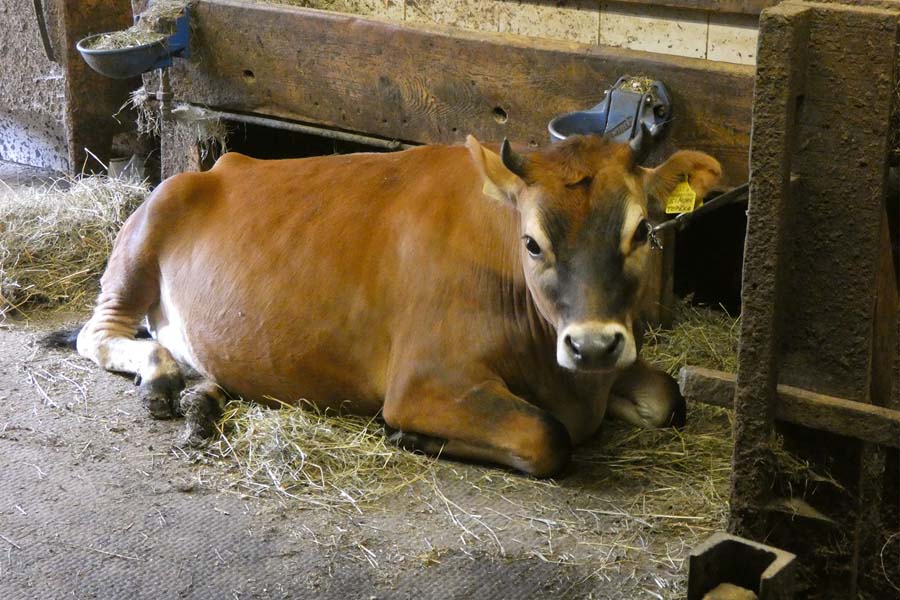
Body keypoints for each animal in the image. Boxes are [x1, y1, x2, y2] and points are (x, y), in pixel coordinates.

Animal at [60, 134, 720, 477]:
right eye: (532, 242)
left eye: (641, 231)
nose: (592, 345)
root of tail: (216, 166)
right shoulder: (424, 380)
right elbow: (547, 437)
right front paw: (411, 438)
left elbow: (669, 397)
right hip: (141, 240)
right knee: (98, 333)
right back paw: (160, 376)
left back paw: (200, 397)